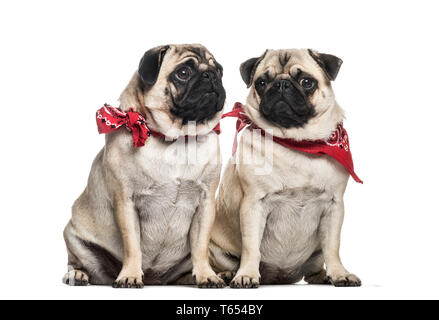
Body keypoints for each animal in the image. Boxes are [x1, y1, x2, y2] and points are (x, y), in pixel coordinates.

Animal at [63, 43, 227, 288]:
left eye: (219, 71)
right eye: (183, 73)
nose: (211, 76)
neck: (177, 140)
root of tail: (154, 279)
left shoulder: (206, 204)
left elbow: (200, 247)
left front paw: (206, 275)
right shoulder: (126, 203)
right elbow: (133, 246)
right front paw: (130, 275)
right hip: (74, 238)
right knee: (82, 265)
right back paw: (78, 274)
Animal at [211, 49, 362, 288]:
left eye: (307, 82)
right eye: (261, 83)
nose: (281, 84)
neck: (297, 142)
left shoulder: (334, 205)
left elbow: (333, 247)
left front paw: (339, 274)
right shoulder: (253, 204)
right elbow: (251, 247)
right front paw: (246, 274)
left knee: (314, 267)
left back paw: (323, 276)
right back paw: (228, 274)